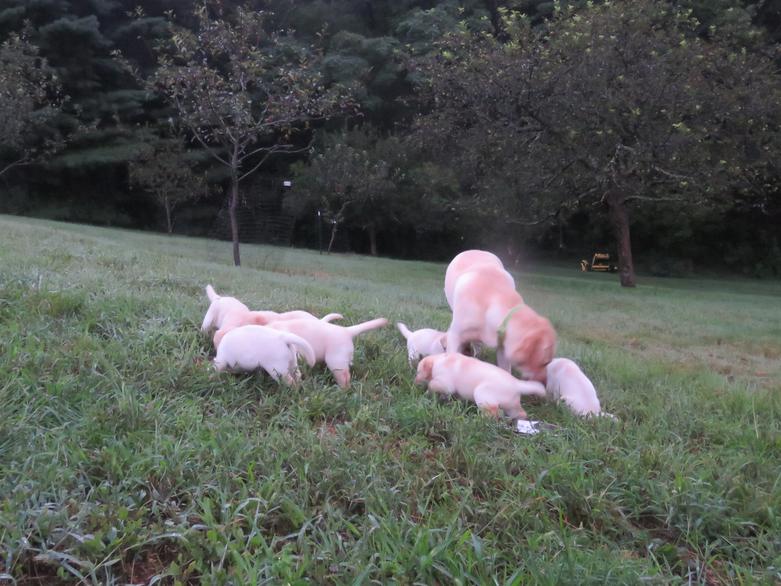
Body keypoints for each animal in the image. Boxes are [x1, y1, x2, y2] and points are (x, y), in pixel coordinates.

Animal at [412, 352, 544, 420]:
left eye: (418, 372)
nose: (414, 383)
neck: (439, 360)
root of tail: (516, 383)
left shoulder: (445, 383)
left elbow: (432, 384)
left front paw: (428, 391)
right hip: (512, 405)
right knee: (520, 413)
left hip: (482, 394)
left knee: (494, 413)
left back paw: (479, 420)